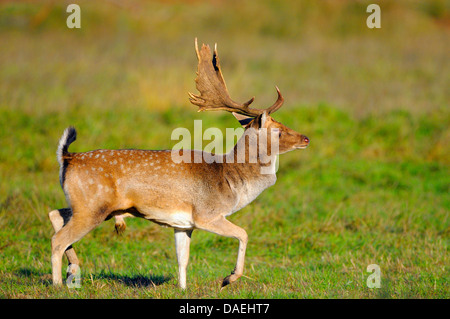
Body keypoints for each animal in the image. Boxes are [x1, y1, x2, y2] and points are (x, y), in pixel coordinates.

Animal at [50, 40, 310, 290]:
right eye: (278, 130)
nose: (306, 138)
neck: (231, 180)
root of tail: (67, 157)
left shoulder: (184, 224)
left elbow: (182, 259)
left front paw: (183, 288)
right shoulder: (207, 214)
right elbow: (244, 234)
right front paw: (228, 278)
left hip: (88, 205)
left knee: (55, 215)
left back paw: (72, 269)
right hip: (92, 206)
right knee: (58, 239)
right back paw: (58, 283)